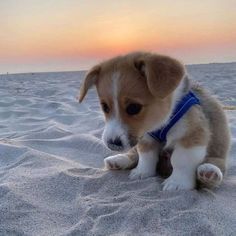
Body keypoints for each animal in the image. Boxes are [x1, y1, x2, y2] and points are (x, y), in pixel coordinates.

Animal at [78, 51, 230, 190]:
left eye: (133, 108)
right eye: (104, 107)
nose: (112, 143)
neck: (161, 122)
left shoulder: (192, 134)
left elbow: (181, 160)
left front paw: (177, 182)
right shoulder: (145, 136)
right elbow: (146, 156)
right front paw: (142, 172)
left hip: (218, 152)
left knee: (217, 164)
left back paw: (209, 172)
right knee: (134, 154)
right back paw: (118, 160)